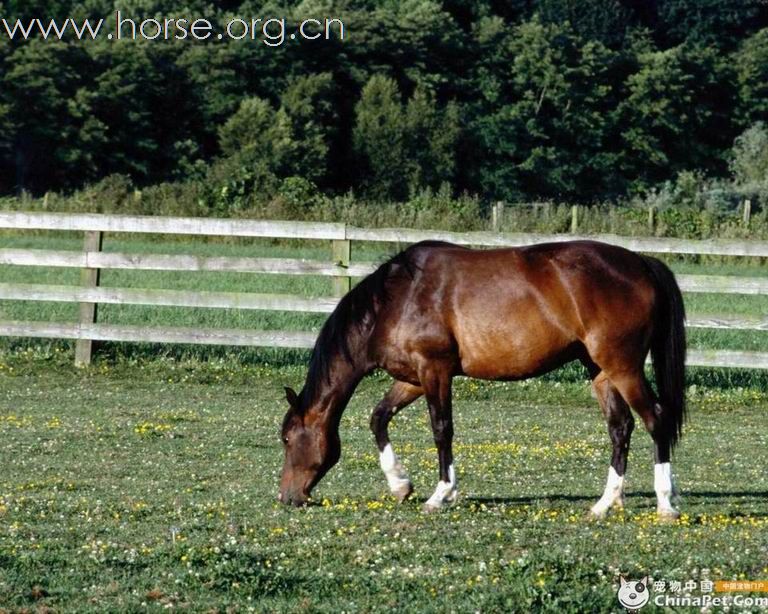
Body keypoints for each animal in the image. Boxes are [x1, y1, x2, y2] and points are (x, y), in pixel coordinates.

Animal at [280, 241, 688, 520]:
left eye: (286, 439)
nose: (287, 497)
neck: (397, 299)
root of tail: (641, 262)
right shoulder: (414, 378)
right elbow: (379, 417)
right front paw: (400, 485)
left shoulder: (434, 370)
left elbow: (442, 429)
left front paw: (440, 494)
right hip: (600, 371)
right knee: (621, 428)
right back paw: (605, 502)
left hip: (623, 367)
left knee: (655, 419)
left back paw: (665, 502)